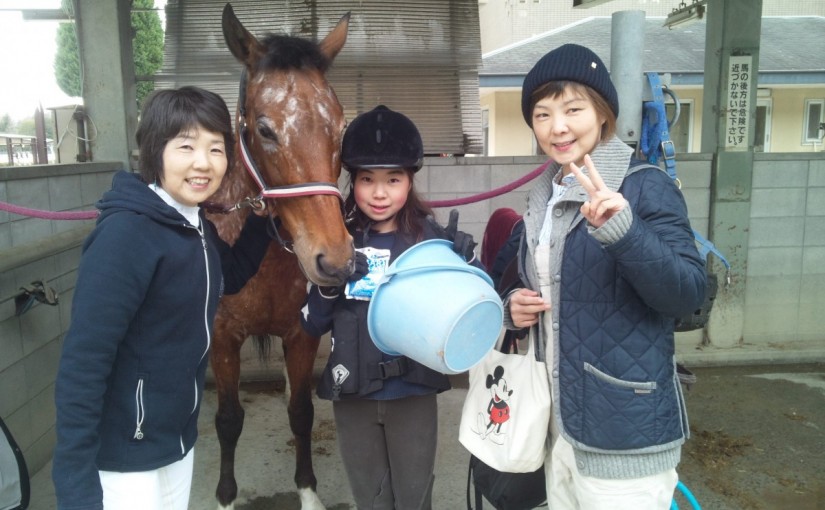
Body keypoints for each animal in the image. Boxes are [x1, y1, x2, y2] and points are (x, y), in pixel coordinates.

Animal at [205, 5, 353, 509]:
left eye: (341, 127)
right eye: (266, 129)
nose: (336, 261)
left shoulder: (300, 334)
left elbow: (301, 412)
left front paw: (307, 491)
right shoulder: (223, 339)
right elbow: (228, 420)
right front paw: (225, 496)